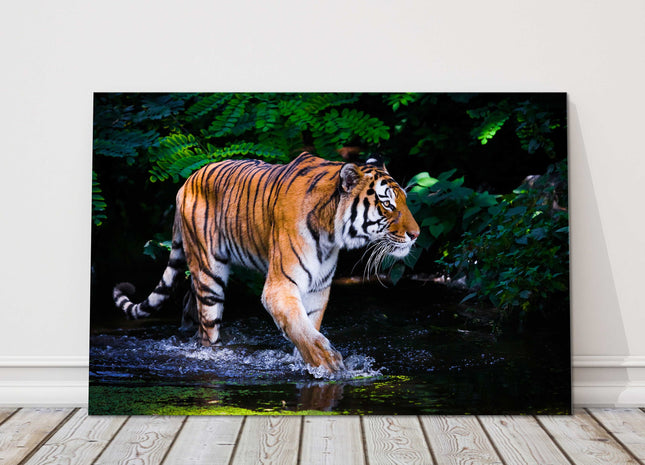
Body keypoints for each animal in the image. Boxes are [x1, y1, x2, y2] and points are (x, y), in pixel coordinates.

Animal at [113, 152, 420, 373]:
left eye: (404, 200)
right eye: (388, 204)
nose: (416, 234)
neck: (331, 233)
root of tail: (186, 181)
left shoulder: (318, 289)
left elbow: (308, 325)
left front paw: (307, 362)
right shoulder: (280, 286)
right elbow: (300, 328)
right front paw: (327, 362)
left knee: (191, 306)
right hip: (209, 273)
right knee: (208, 327)